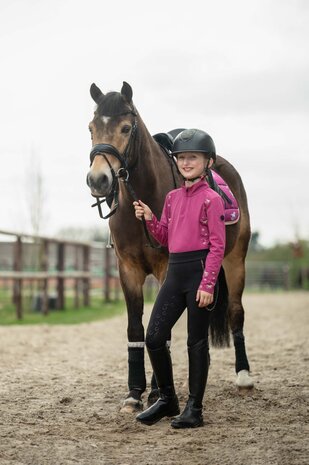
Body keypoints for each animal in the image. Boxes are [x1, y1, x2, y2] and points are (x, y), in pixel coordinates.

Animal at [85, 81, 251, 412]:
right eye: (91, 129)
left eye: (125, 128)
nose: (98, 180)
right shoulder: (128, 270)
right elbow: (136, 328)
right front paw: (134, 393)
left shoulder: (166, 270)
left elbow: (160, 327)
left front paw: (154, 393)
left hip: (235, 260)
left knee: (236, 312)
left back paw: (243, 377)